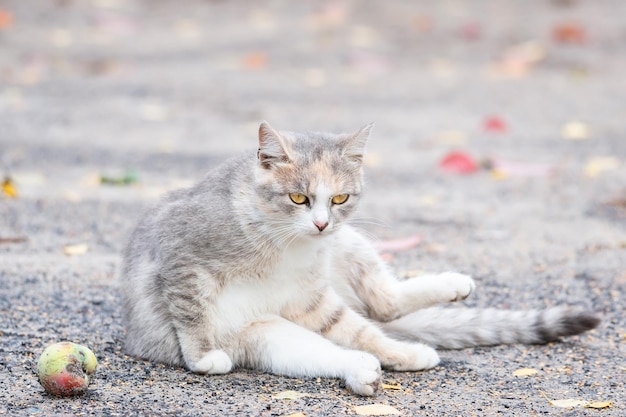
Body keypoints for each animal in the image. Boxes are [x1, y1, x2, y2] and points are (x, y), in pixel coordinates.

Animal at [119, 122, 596, 394]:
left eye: (340, 198)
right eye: (298, 197)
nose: (321, 224)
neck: (281, 245)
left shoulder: (310, 296)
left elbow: (358, 325)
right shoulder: (180, 254)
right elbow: (191, 310)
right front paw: (201, 358)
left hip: (347, 246)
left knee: (379, 311)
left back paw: (421, 327)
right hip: (268, 335)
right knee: (337, 348)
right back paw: (362, 372)